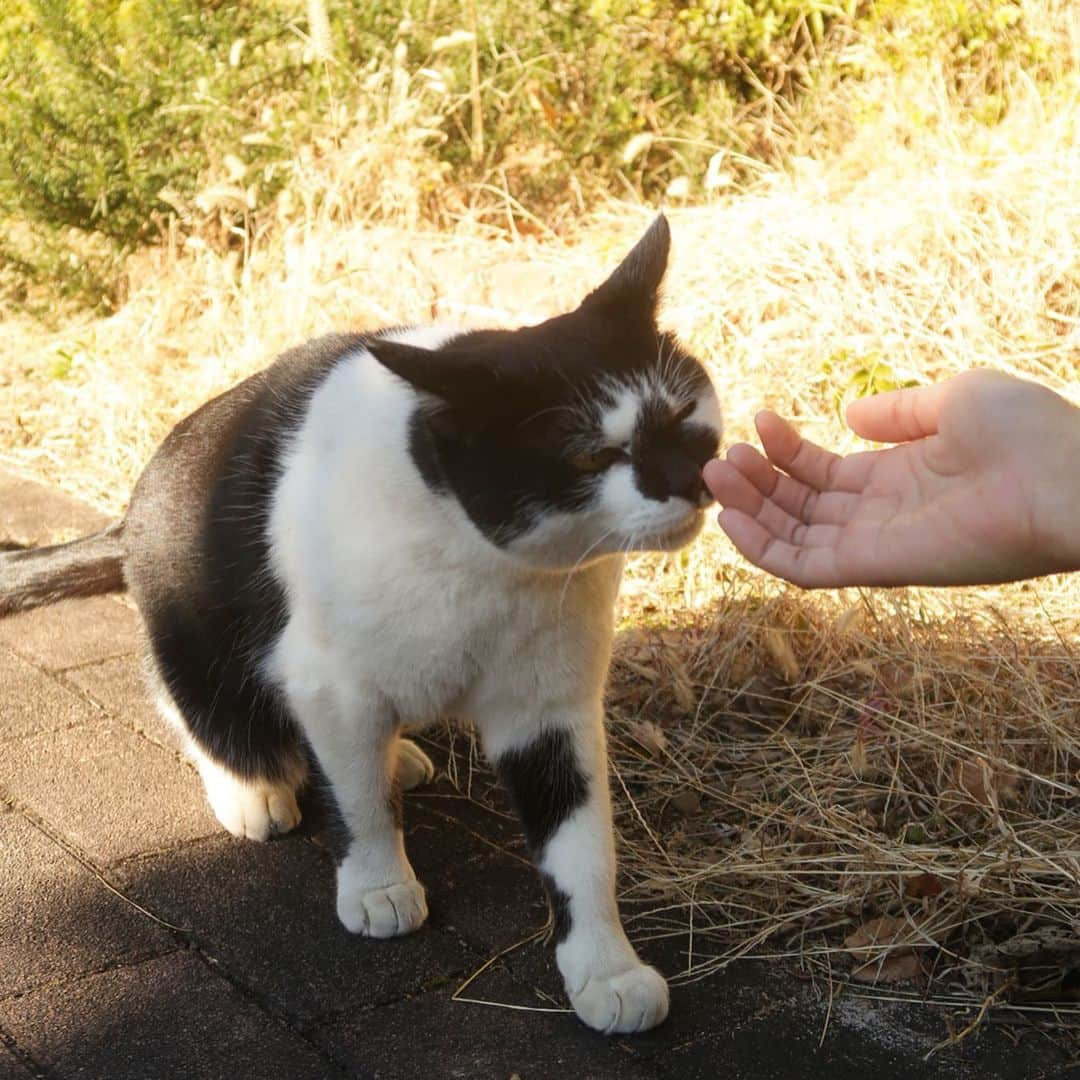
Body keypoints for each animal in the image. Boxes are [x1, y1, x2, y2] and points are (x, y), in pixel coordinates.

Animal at [4, 214, 725, 1032]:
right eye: (592, 456)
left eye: (683, 418)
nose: (691, 482)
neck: (485, 567)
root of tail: (131, 511)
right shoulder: (329, 685)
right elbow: (358, 800)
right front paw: (378, 882)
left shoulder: (552, 705)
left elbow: (582, 847)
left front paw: (606, 968)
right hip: (192, 618)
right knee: (191, 701)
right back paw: (251, 786)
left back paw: (399, 756)